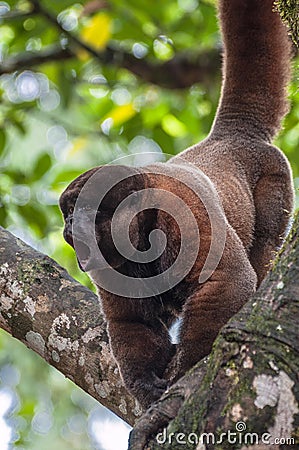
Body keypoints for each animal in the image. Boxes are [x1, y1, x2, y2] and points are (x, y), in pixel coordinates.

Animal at [59, 0, 294, 408]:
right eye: (68, 212)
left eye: (87, 210)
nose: (71, 225)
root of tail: (232, 133)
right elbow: (132, 322)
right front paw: (146, 384)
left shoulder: (187, 217)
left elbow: (229, 282)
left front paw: (184, 374)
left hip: (276, 181)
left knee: (264, 248)